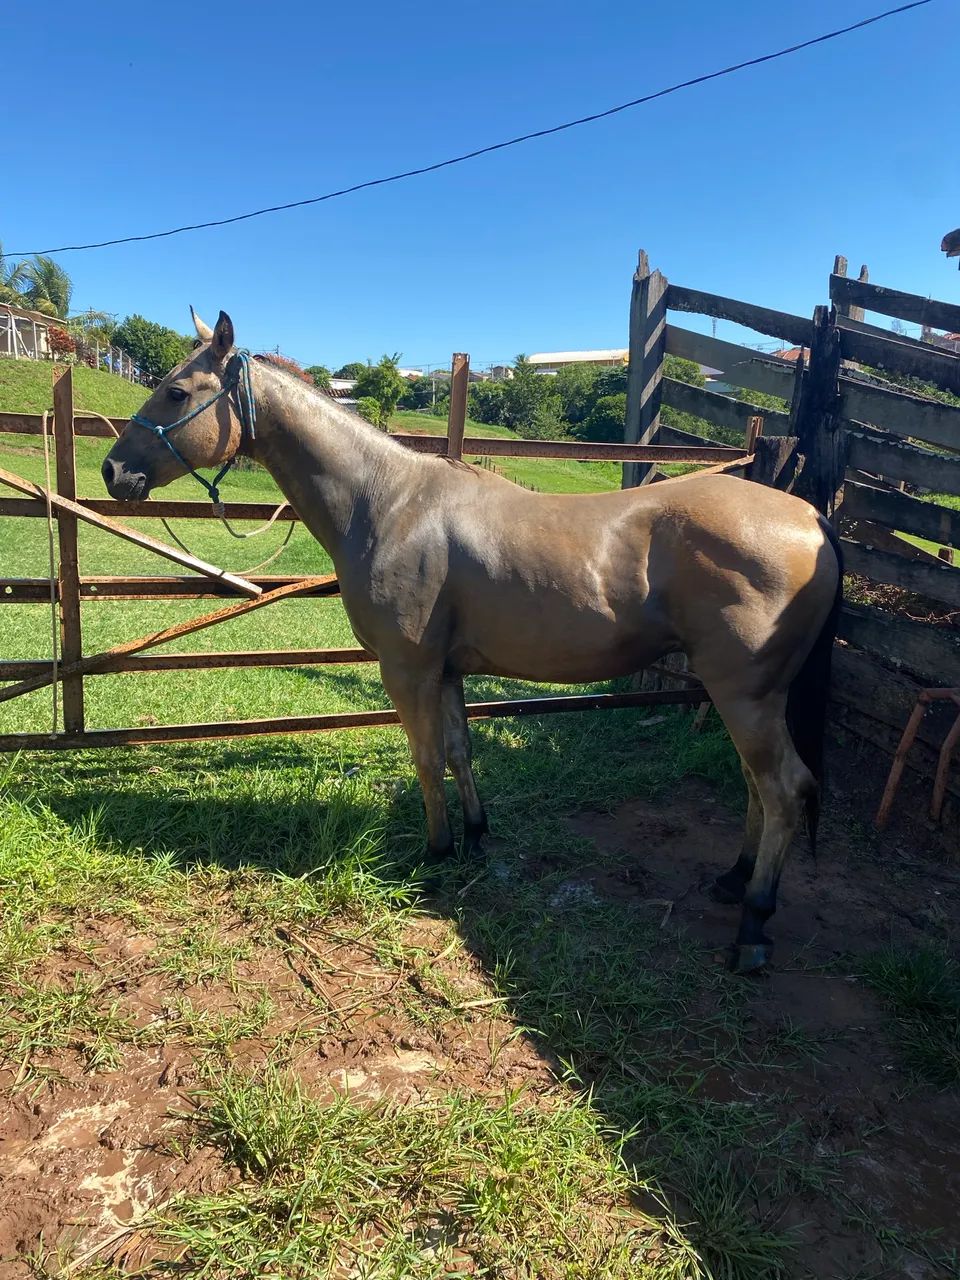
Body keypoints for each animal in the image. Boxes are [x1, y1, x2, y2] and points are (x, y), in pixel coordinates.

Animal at [102, 309, 843, 973]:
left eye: (175, 391)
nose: (113, 471)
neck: (389, 502)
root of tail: (810, 519)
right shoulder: (449, 670)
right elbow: (459, 752)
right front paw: (476, 837)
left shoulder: (407, 669)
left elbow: (427, 758)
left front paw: (435, 851)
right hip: (750, 696)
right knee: (757, 785)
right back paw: (734, 879)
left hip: (743, 694)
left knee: (783, 789)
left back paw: (754, 924)